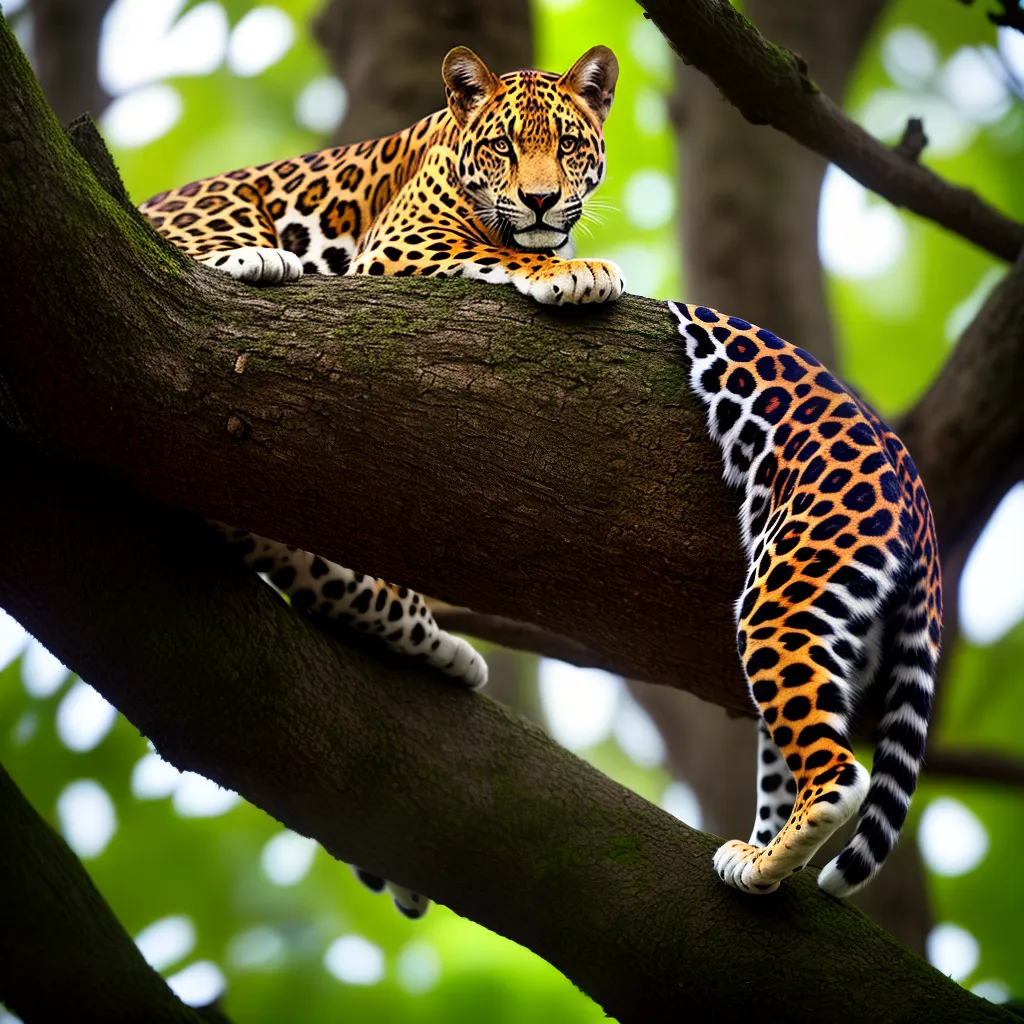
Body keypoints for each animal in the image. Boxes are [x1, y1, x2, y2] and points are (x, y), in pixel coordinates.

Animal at [140, 45, 623, 919]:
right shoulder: (405, 243)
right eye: (503, 148)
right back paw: (257, 259)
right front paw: (577, 271)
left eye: (569, 146)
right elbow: (507, 249)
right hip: (218, 206)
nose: (541, 198)